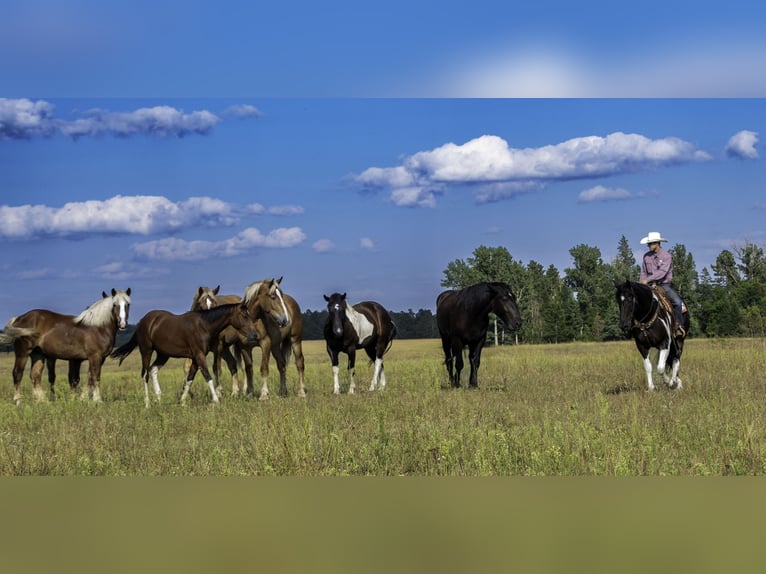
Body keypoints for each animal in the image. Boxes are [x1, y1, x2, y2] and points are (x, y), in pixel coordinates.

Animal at [0, 288, 132, 404]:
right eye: (114, 305)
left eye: (128, 304)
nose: (123, 324)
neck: (97, 327)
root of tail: (19, 318)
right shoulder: (95, 357)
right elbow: (95, 377)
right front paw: (97, 401)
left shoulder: (96, 359)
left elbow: (87, 378)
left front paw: (82, 399)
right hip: (22, 352)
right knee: (17, 374)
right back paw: (18, 402)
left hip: (38, 354)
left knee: (35, 376)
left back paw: (43, 402)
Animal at [111, 302, 260, 410]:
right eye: (244, 316)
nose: (255, 335)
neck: (203, 326)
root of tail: (144, 321)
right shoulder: (199, 355)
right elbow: (207, 376)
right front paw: (216, 400)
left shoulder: (195, 357)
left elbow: (190, 378)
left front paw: (182, 402)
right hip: (146, 351)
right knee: (145, 374)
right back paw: (147, 403)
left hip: (163, 355)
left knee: (153, 370)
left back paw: (158, 398)